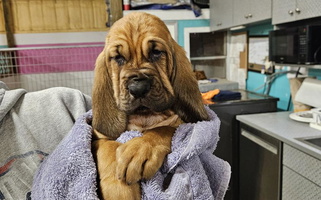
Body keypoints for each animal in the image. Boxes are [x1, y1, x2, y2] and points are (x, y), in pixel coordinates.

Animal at [91, 11, 209, 199]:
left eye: (156, 52)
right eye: (118, 58)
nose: (138, 89)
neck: (144, 116)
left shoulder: (180, 124)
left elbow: (163, 129)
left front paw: (140, 149)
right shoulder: (97, 139)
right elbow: (108, 147)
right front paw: (119, 188)